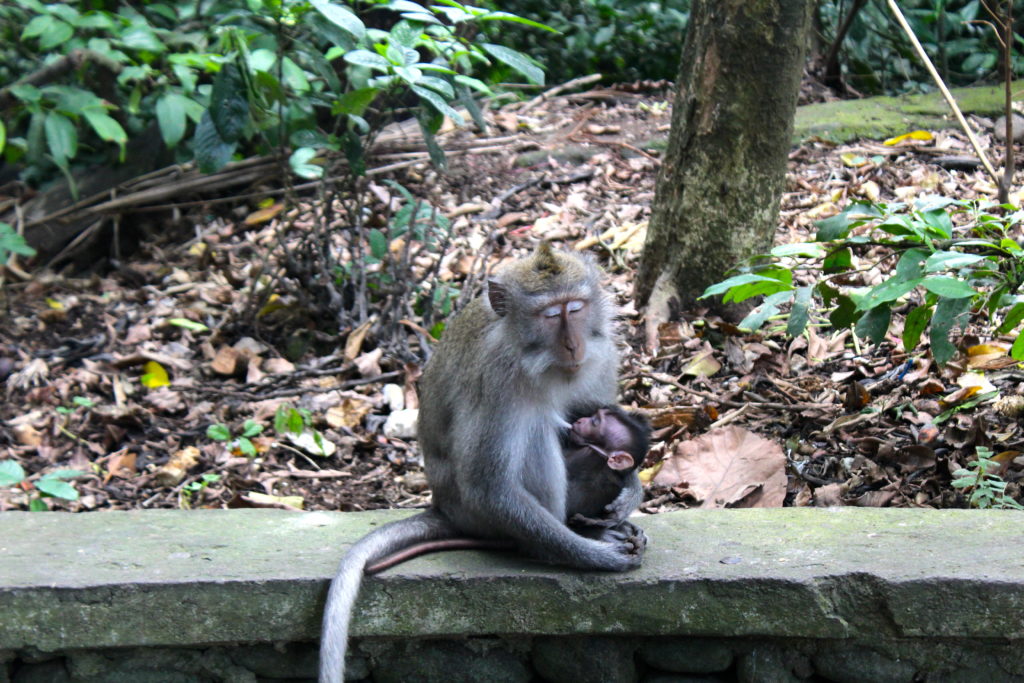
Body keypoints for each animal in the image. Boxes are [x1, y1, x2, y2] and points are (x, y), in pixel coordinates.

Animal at [319, 243, 644, 683]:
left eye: (575, 308)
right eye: (550, 315)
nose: (573, 346)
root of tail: (441, 505)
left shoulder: (603, 353)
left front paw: (631, 491)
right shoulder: (497, 378)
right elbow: (488, 486)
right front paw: (595, 556)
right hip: (472, 512)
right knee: (534, 431)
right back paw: (555, 545)